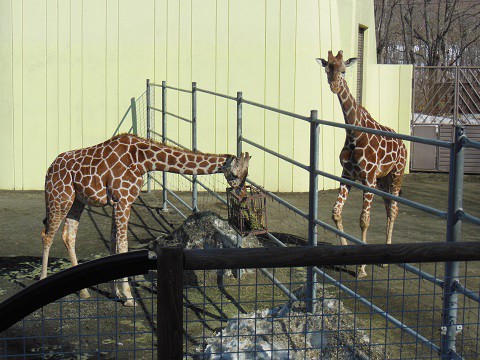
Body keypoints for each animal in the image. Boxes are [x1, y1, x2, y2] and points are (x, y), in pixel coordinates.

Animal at [41, 134, 251, 306]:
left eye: (247, 174)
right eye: (235, 174)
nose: (242, 196)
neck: (143, 160)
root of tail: (49, 169)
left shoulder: (119, 202)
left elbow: (114, 243)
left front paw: (116, 293)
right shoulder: (123, 200)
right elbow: (122, 245)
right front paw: (129, 297)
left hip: (77, 201)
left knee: (68, 236)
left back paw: (84, 292)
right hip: (59, 198)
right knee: (47, 235)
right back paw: (43, 280)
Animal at [316, 49, 406, 278]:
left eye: (343, 70)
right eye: (327, 69)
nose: (334, 86)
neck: (354, 134)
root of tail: (403, 144)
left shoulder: (368, 179)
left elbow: (364, 220)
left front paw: (362, 269)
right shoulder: (347, 176)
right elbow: (336, 212)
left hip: (396, 174)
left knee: (394, 209)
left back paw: (386, 260)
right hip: (383, 180)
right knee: (388, 207)